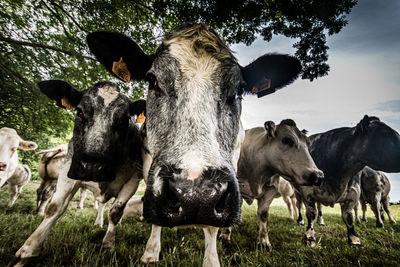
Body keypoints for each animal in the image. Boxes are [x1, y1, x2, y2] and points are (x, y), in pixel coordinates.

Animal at [12, 80, 148, 266]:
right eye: (80, 111)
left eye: (125, 119)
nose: (92, 166)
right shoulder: (68, 170)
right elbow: (54, 208)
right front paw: (28, 250)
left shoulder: (133, 180)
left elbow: (115, 212)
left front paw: (108, 245)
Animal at [86, 23, 300, 267]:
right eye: (152, 80)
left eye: (238, 90)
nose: (195, 195)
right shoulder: (149, 161)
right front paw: (151, 253)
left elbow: (212, 228)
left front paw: (212, 259)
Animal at [217, 120, 324, 248]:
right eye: (287, 140)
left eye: (308, 145)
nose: (318, 176)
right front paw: (224, 236)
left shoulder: (271, 189)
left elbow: (263, 214)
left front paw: (264, 242)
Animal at [292, 115, 400, 247]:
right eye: (385, 133)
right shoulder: (307, 191)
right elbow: (311, 213)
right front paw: (309, 236)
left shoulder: (353, 193)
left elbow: (349, 216)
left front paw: (354, 238)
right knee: (299, 205)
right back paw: (300, 220)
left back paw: (321, 221)